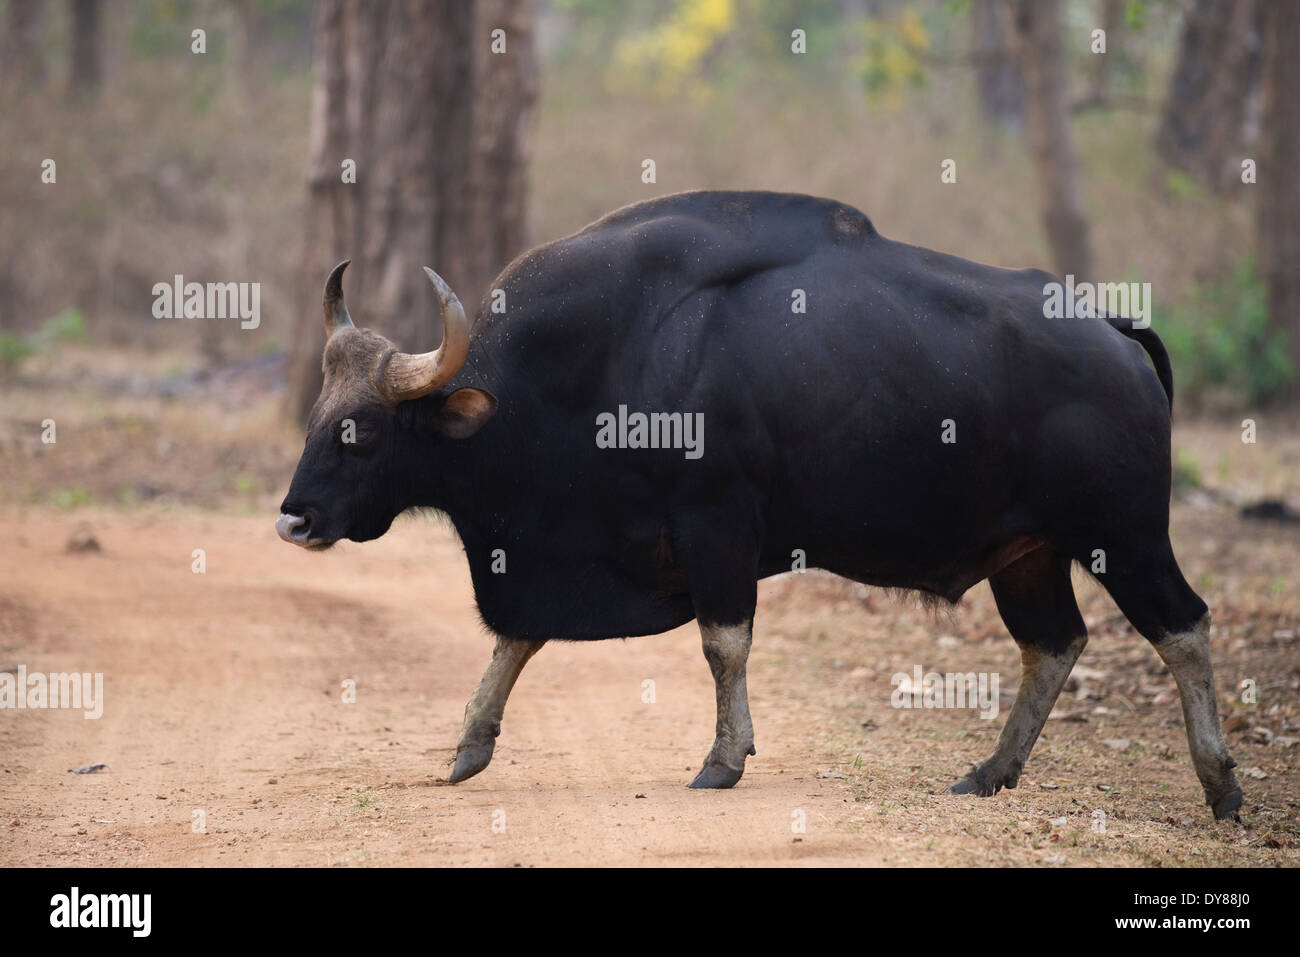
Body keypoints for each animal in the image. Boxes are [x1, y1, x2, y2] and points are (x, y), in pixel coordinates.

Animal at [279, 191, 1242, 816]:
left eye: (362, 430)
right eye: (320, 416)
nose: (294, 517)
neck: (603, 361)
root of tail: (1111, 329)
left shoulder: (717, 529)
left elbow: (722, 644)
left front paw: (722, 757)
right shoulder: (561, 545)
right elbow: (519, 636)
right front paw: (469, 744)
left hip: (1125, 535)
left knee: (1184, 628)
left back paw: (1222, 784)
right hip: (1029, 553)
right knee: (1054, 642)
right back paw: (992, 769)